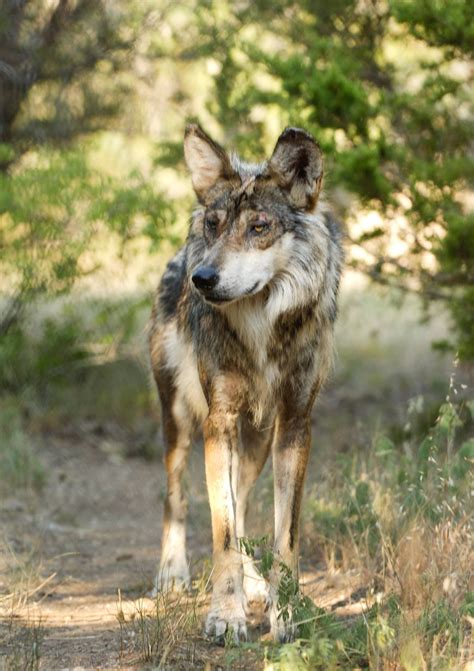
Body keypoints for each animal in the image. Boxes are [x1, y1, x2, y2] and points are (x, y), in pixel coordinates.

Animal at [146, 123, 342, 644]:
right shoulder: (219, 420)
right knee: (177, 496)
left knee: (244, 498)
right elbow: (222, 530)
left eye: (259, 227)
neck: (262, 330)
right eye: (214, 225)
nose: (202, 278)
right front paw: (225, 616)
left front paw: (285, 613)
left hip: (257, 440)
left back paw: (256, 584)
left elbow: (283, 533)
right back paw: (171, 574)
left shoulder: (295, 424)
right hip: (180, 421)